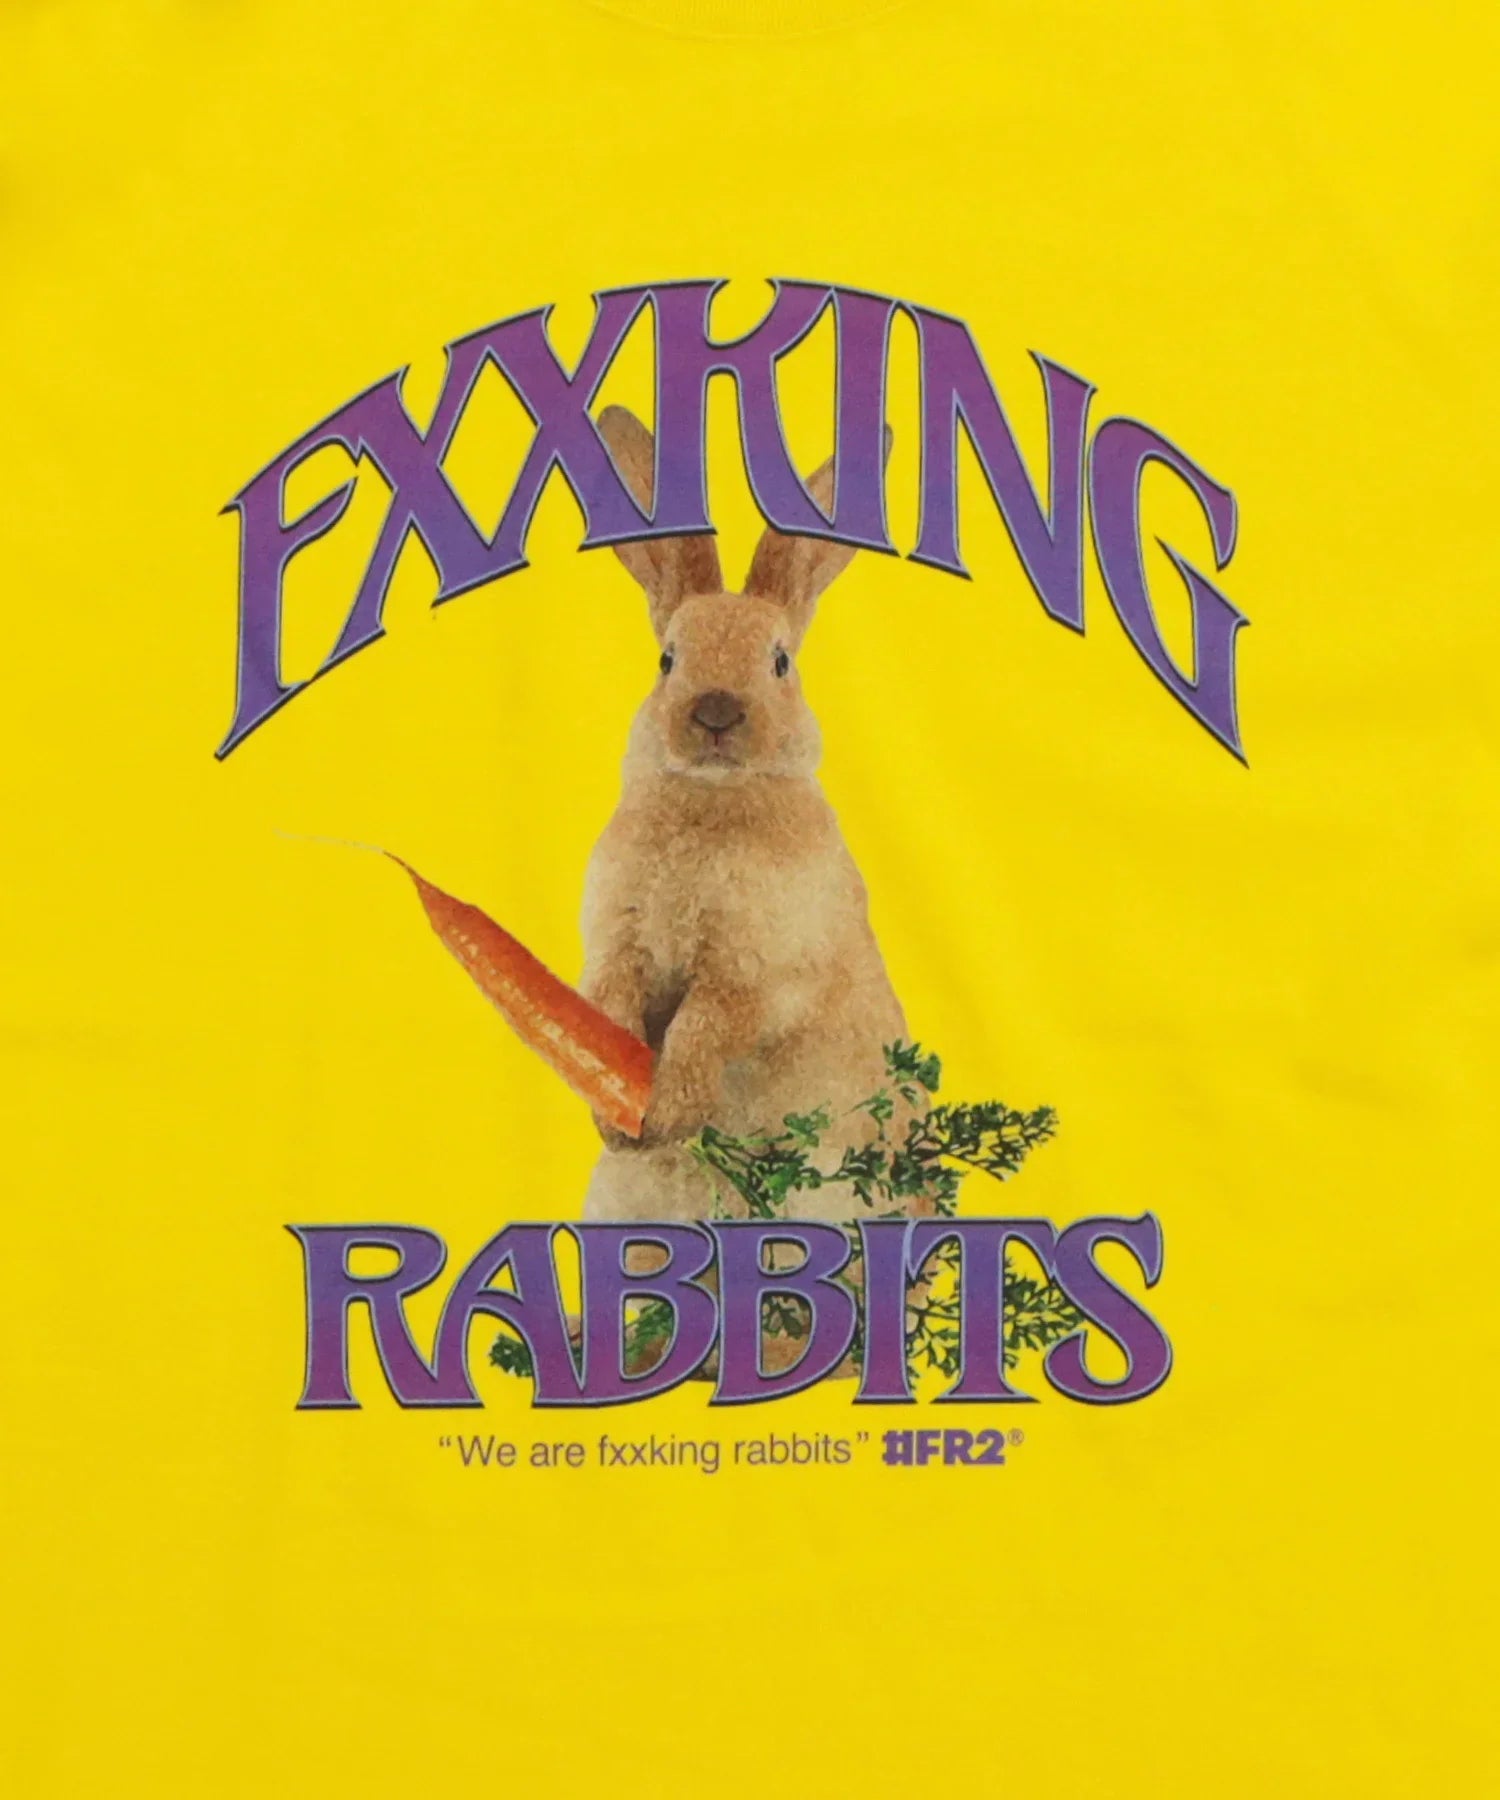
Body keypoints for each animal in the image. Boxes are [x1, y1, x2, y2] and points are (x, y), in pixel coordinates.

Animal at [577, 404, 924, 1237]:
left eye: (779, 662)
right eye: (668, 659)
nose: (715, 713)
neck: (710, 796)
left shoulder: (758, 972)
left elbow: (706, 1024)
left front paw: (667, 1112)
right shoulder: (615, 947)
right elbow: (608, 1006)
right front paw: (619, 1119)